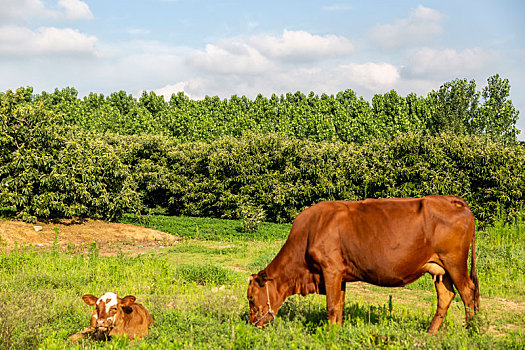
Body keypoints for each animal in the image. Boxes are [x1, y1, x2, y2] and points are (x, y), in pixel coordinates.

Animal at [246, 196, 478, 334]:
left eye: (250, 298)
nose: (251, 324)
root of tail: (451, 200)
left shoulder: (330, 269)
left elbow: (331, 306)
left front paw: (331, 335)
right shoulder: (340, 274)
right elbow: (339, 305)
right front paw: (337, 332)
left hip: (454, 262)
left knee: (468, 293)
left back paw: (472, 331)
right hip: (440, 268)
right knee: (446, 295)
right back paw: (430, 333)